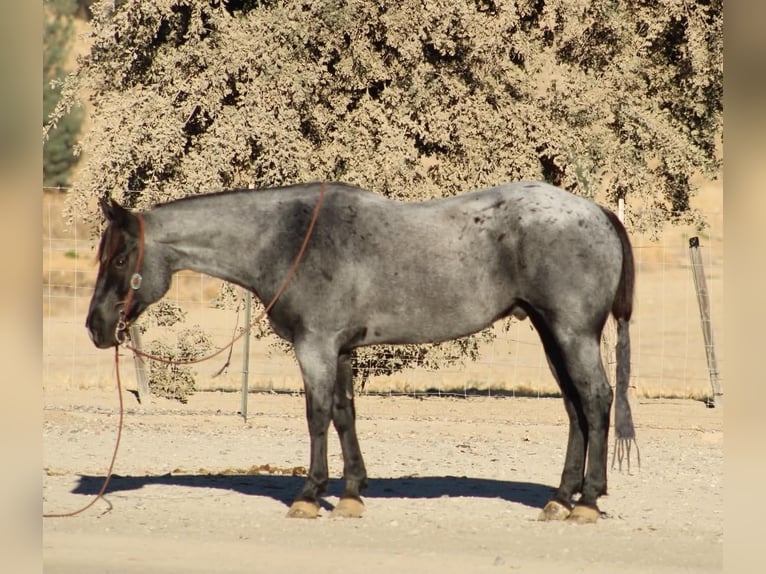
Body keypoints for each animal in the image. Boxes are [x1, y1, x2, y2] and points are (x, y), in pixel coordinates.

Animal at [86, 180, 636, 523]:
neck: (288, 240)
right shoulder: (341, 350)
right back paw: (561, 498)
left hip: (572, 333)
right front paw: (351, 493)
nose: (95, 327)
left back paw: (587, 501)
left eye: (119, 258)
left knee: (596, 401)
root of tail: (597, 211)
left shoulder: (315, 346)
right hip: (551, 334)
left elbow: (316, 416)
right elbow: (345, 414)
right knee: (575, 409)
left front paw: (311, 494)